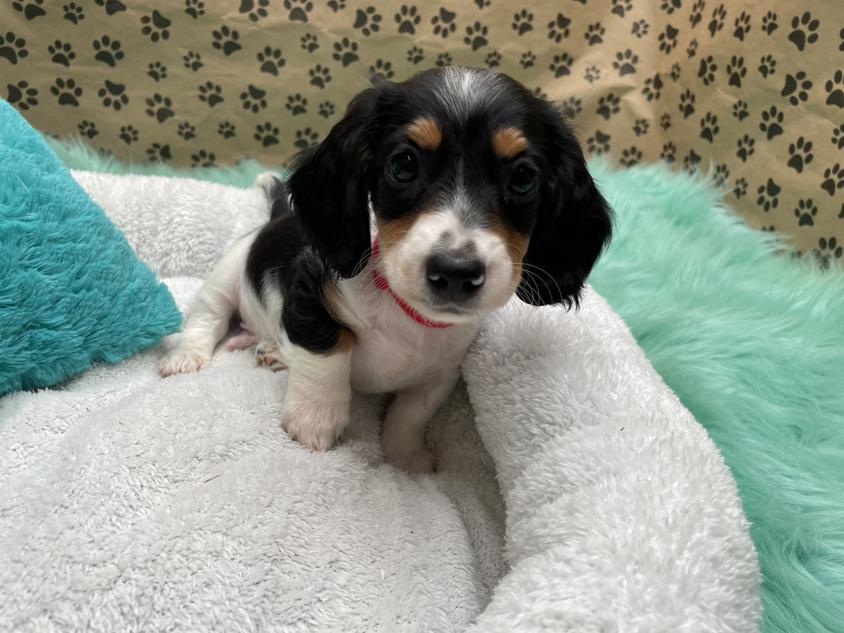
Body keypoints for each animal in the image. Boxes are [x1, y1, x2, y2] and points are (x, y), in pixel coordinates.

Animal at [158, 66, 608, 472]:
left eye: (523, 177)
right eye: (403, 164)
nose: (456, 271)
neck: (404, 310)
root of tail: (276, 217)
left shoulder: (442, 371)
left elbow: (411, 412)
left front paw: (406, 457)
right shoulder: (310, 292)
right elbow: (327, 351)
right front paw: (315, 419)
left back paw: (272, 350)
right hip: (224, 279)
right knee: (206, 320)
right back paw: (189, 357)